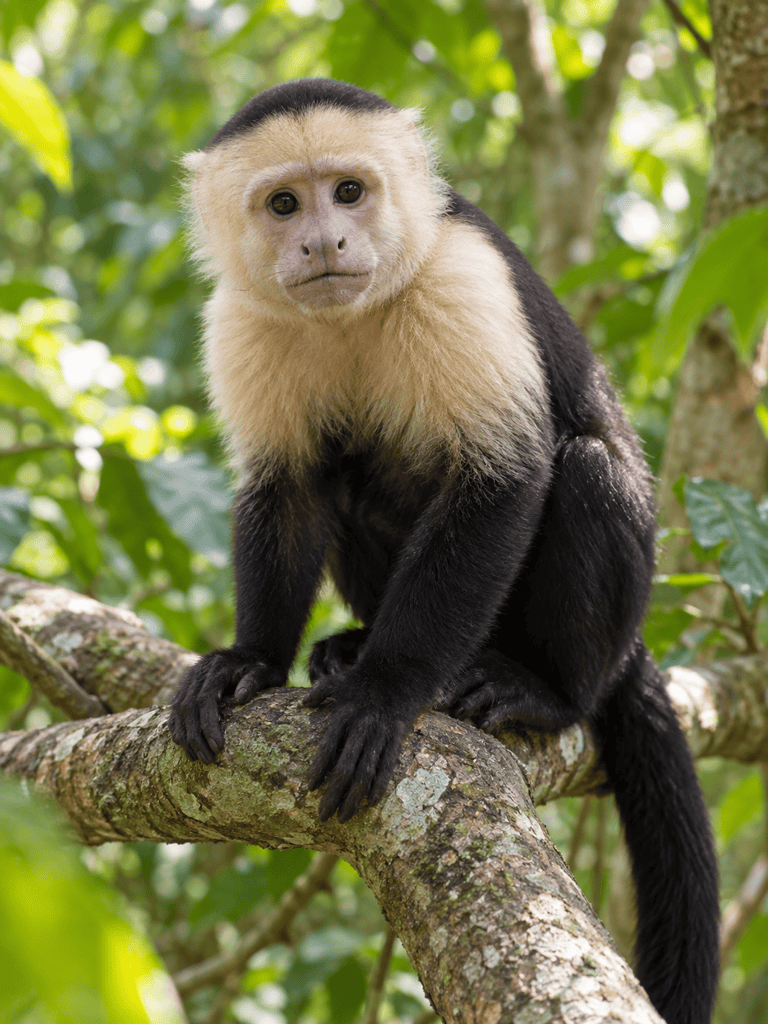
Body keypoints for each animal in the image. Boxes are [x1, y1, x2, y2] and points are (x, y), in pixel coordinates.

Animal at [167, 79, 719, 1024]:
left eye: (349, 191)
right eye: (284, 205)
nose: (324, 240)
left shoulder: (463, 275)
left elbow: (502, 478)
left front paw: (386, 692)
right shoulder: (240, 316)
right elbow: (288, 487)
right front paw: (249, 661)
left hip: (605, 627)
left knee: (586, 470)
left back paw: (541, 690)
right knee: (347, 475)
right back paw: (352, 643)